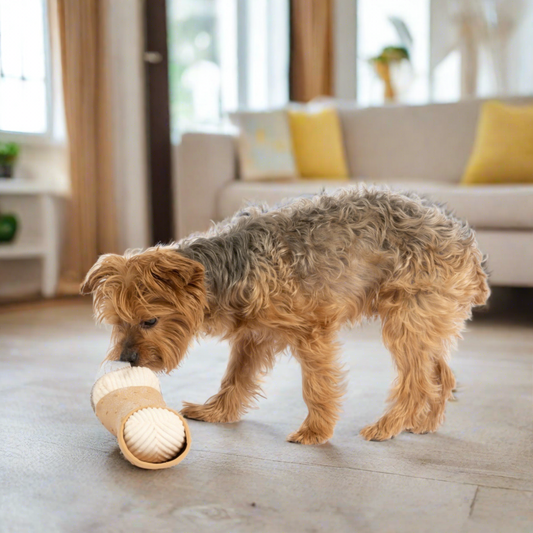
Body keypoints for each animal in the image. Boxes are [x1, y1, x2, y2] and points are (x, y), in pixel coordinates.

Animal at [81, 185, 488, 442]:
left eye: (150, 321)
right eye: (117, 323)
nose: (127, 360)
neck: (228, 267)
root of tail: (466, 242)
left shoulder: (312, 331)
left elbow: (317, 386)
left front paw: (315, 432)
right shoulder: (252, 336)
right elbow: (235, 378)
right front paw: (217, 412)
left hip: (406, 322)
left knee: (418, 382)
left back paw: (388, 425)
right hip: (425, 323)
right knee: (441, 375)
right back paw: (424, 424)